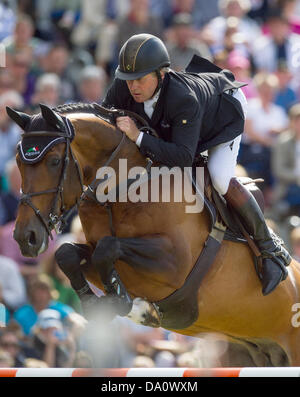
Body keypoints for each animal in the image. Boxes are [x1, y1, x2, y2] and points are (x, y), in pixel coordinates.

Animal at [7, 103, 300, 366]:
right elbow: (68, 253)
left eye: (55, 161)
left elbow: (108, 247)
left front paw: (126, 302)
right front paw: (95, 303)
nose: (26, 237)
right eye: (18, 163)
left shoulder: (174, 265)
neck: (121, 190)